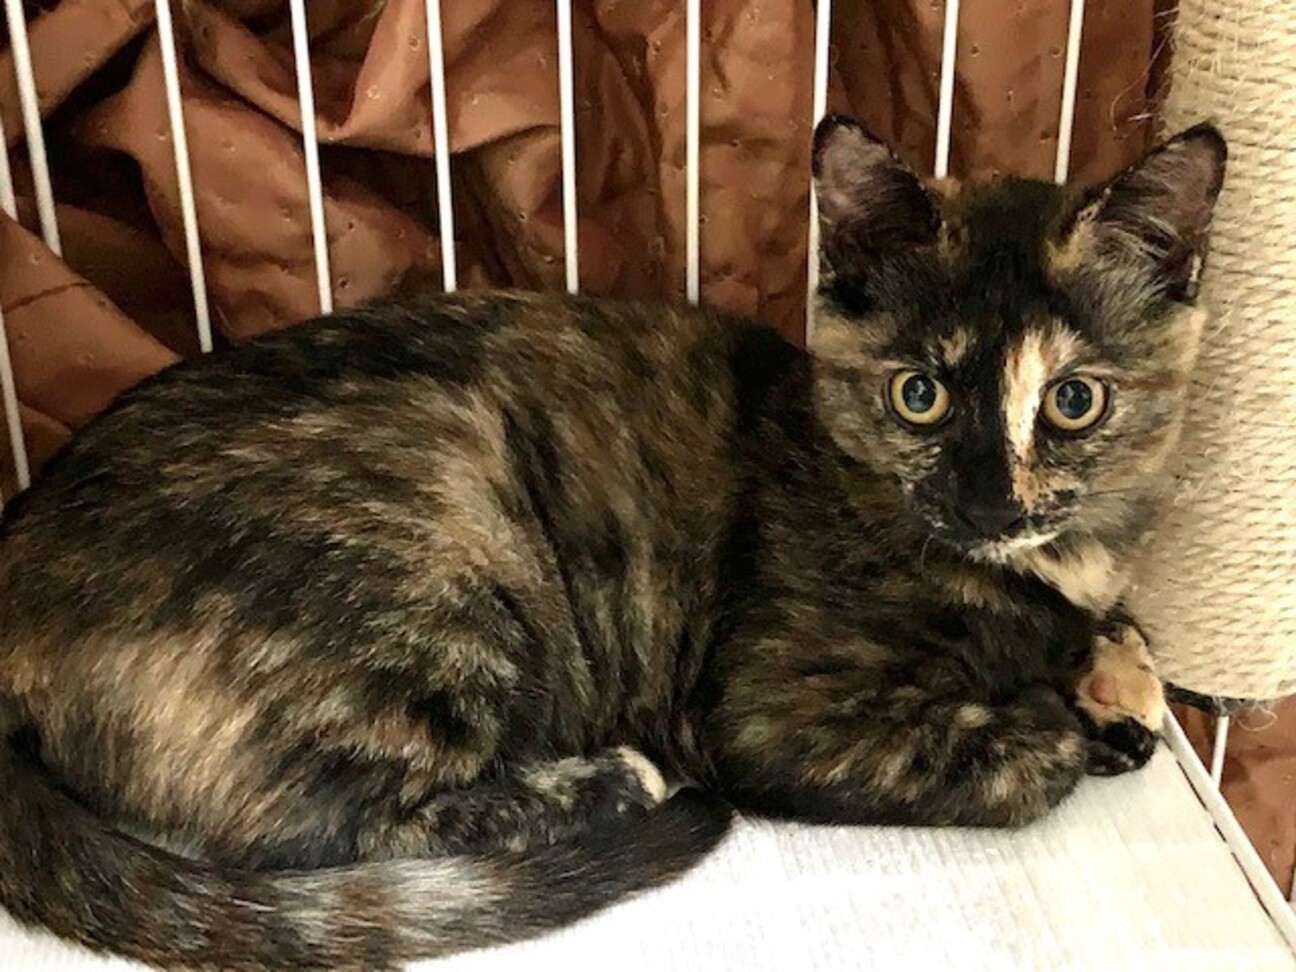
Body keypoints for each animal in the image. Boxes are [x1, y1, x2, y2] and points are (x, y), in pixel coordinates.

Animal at [0, 114, 1225, 970]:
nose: (986, 504)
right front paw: (1065, 715)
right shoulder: (770, 717)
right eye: (919, 395)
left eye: (1074, 401)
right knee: (323, 830)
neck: (1032, 571)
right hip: (442, 531)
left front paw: (1112, 674)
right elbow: (1027, 761)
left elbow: (1128, 648)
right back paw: (607, 783)